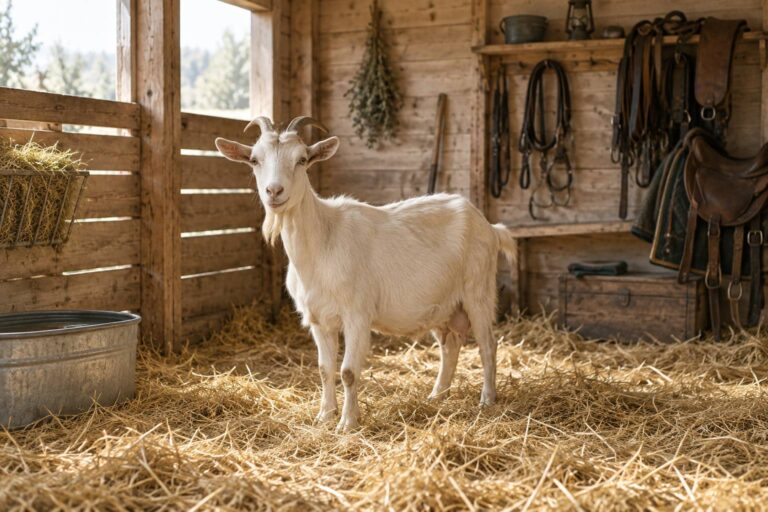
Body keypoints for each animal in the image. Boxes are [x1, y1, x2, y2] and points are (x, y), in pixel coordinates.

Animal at [215, 116, 517, 432]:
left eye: (302, 160)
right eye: (254, 159)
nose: (274, 192)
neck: (323, 241)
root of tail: (490, 227)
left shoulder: (357, 315)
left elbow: (348, 371)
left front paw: (348, 422)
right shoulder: (319, 320)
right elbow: (324, 369)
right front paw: (325, 415)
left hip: (478, 291)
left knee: (488, 345)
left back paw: (487, 399)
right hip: (443, 305)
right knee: (450, 346)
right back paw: (437, 395)